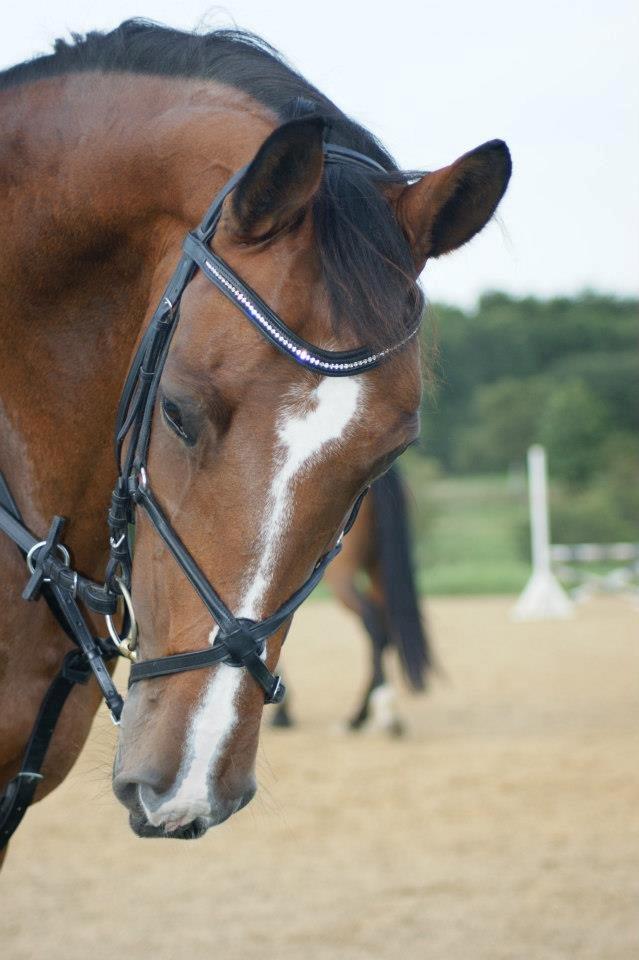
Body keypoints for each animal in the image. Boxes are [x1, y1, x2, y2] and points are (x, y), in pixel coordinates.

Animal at [272, 464, 432, 736]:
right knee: (385, 626)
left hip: (341, 573)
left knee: (372, 622)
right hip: (379, 570)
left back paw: (382, 711)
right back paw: (360, 716)